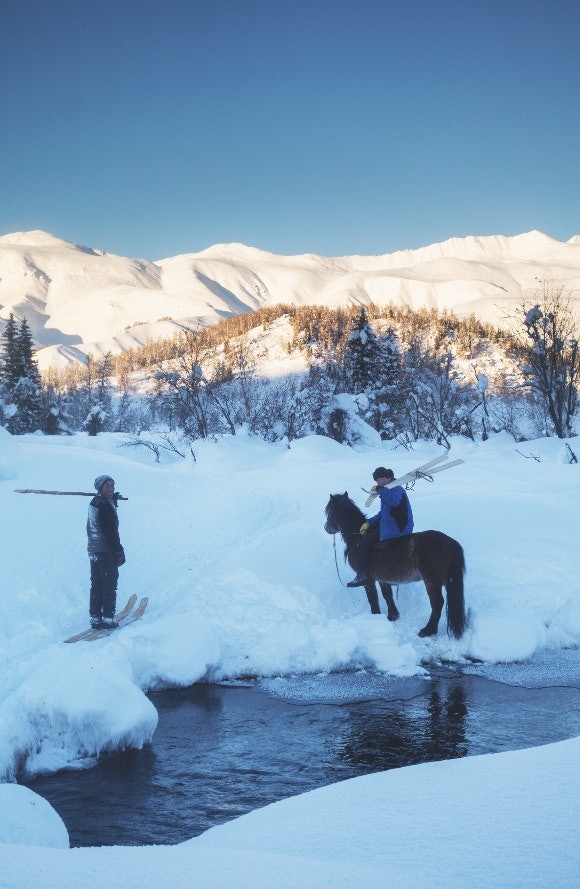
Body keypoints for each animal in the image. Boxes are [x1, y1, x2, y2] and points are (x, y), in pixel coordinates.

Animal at [326, 492, 466, 640]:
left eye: (330, 511)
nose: (326, 527)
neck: (357, 538)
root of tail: (450, 542)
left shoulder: (368, 580)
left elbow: (373, 598)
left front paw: (374, 617)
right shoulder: (382, 578)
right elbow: (387, 596)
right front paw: (392, 616)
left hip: (432, 581)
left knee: (437, 603)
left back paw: (428, 630)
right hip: (447, 580)